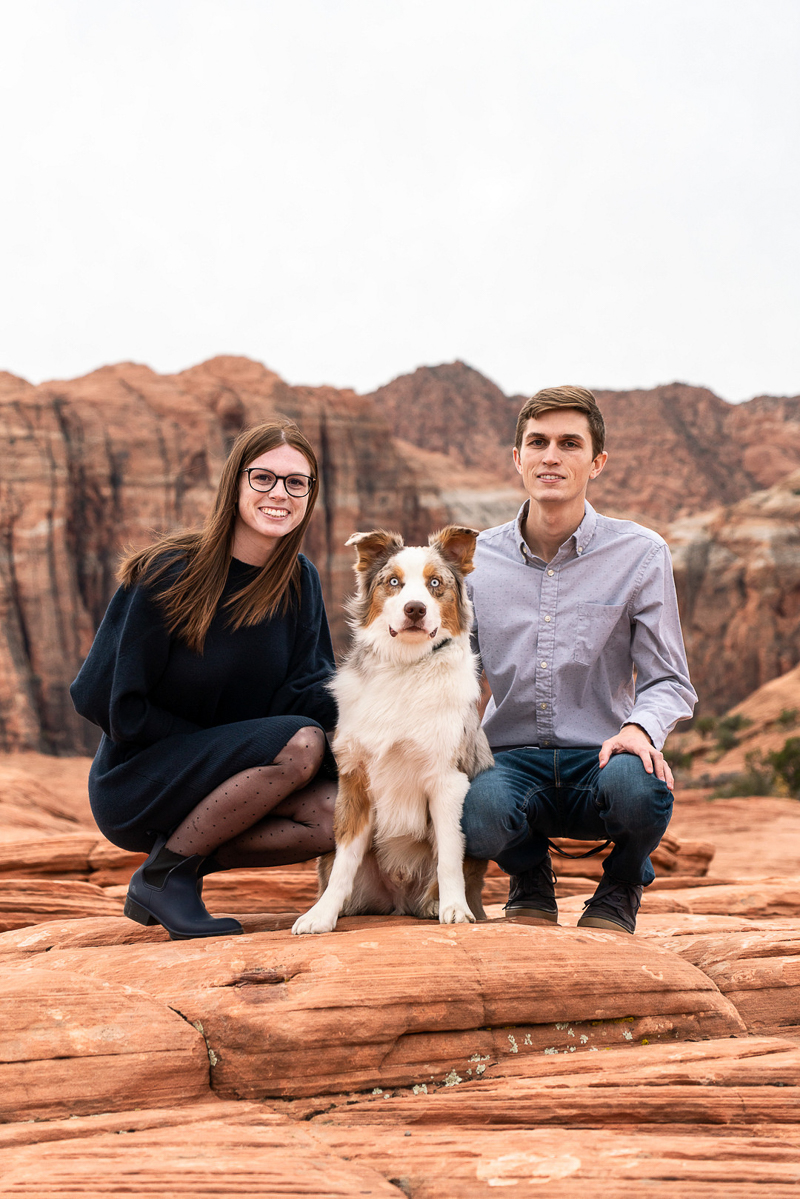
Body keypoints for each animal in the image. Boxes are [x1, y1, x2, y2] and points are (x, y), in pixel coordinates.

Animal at [293, 527, 494, 935]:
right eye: (394, 582)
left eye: (435, 583)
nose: (414, 609)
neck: (407, 667)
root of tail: (400, 902)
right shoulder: (354, 778)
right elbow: (344, 862)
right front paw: (321, 915)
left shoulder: (446, 779)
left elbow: (449, 854)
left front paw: (454, 909)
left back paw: (434, 904)